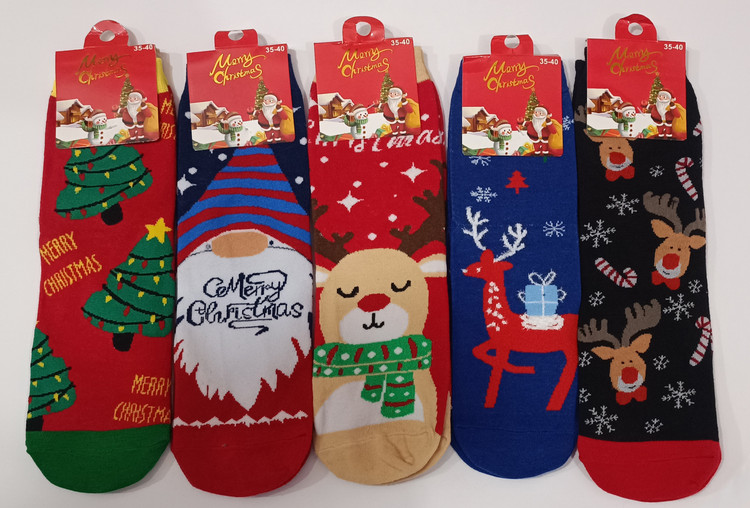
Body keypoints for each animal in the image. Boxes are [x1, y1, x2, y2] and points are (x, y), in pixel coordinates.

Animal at [461, 207, 577, 411]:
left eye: (482, 267)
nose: (465, 270)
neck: (504, 318)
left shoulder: (503, 344)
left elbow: (496, 365)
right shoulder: (495, 342)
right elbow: (478, 351)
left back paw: (554, 402)